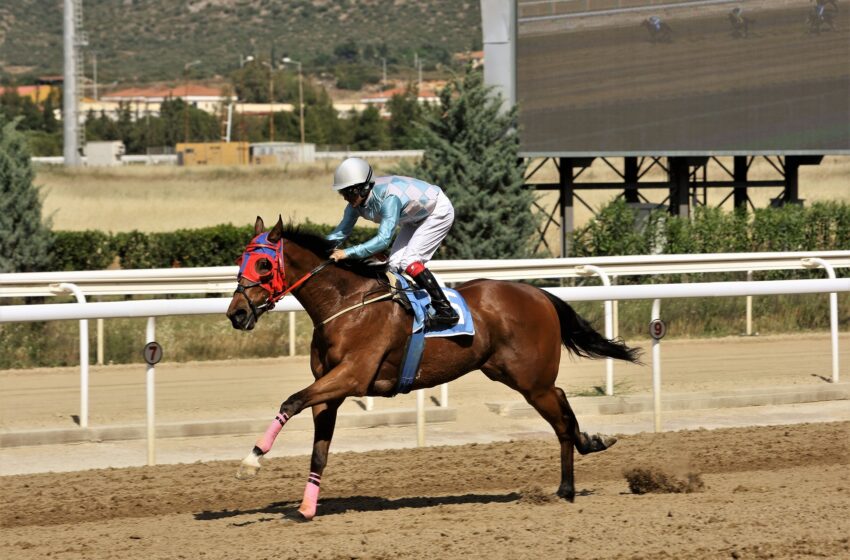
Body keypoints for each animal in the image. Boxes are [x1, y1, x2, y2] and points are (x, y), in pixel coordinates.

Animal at [225, 215, 636, 520]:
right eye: (241, 261)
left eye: (263, 264)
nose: (236, 314)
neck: (345, 305)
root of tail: (539, 293)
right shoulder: (331, 390)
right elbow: (318, 450)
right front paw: (307, 507)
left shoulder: (351, 377)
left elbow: (291, 401)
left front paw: (251, 461)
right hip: (514, 375)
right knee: (563, 402)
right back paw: (588, 447)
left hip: (531, 380)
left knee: (561, 419)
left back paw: (567, 485)